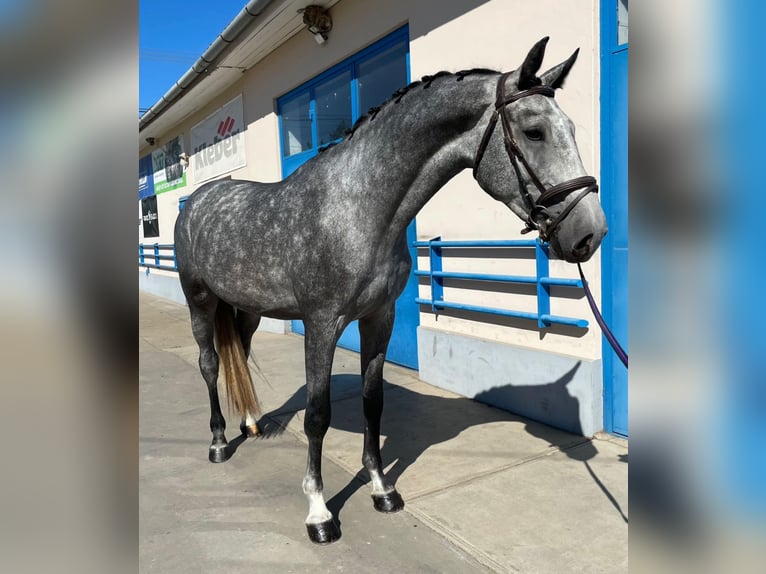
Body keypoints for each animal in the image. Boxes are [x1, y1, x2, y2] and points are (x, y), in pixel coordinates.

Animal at [177, 38, 608, 548]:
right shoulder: (321, 325)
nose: (590, 233)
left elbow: (373, 401)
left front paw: (382, 489)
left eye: (571, 128)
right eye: (534, 131)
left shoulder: (379, 317)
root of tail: (195, 201)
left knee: (239, 354)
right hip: (200, 302)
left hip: (247, 309)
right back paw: (220, 442)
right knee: (209, 364)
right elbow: (317, 414)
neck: (359, 209)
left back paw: (251, 424)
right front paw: (320, 512)